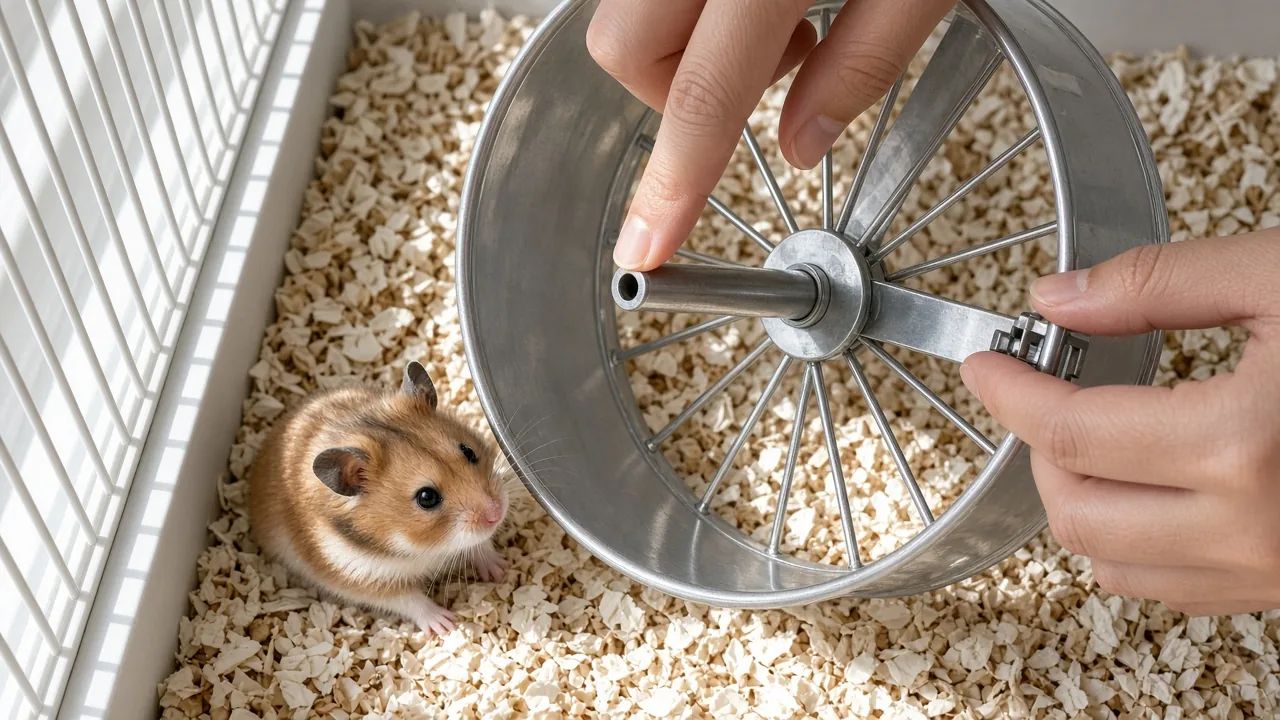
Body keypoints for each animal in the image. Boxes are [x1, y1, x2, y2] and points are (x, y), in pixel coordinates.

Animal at [248, 361, 509, 636]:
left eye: (468, 451)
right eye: (426, 497)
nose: (497, 513)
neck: (421, 548)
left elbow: (480, 546)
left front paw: (501, 570)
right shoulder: (361, 578)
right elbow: (410, 600)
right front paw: (447, 625)